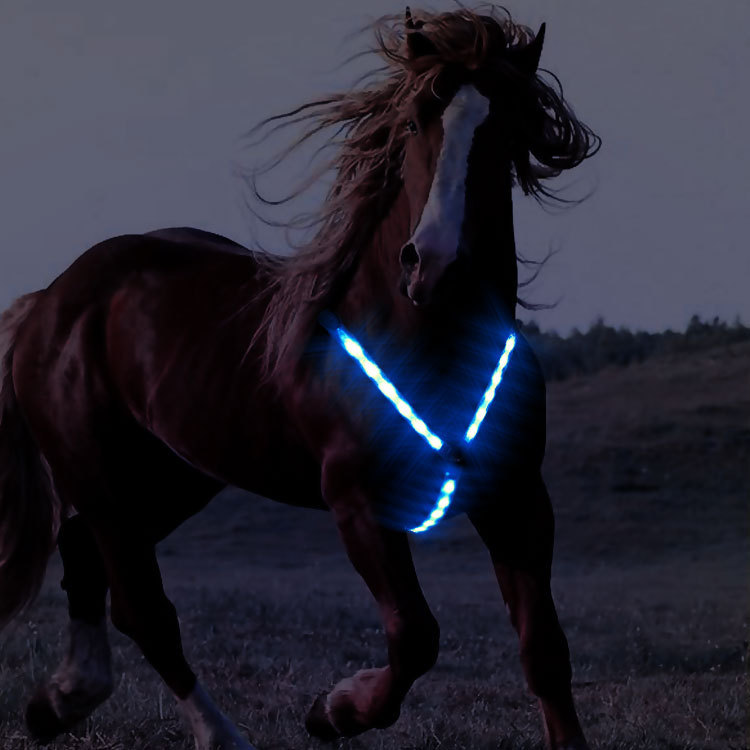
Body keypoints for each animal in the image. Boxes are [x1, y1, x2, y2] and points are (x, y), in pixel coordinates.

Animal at [0, 7, 599, 749]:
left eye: (507, 128)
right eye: (413, 124)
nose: (433, 267)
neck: (427, 339)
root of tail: (50, 300)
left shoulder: (516, 497)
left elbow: (543, 649)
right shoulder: (358, 503)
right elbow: (416, 636)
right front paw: (332, 710)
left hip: (174, 475)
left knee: (83, 554)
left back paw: (58, 703)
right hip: (101, 477)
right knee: (143, 608)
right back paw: (217, 735)